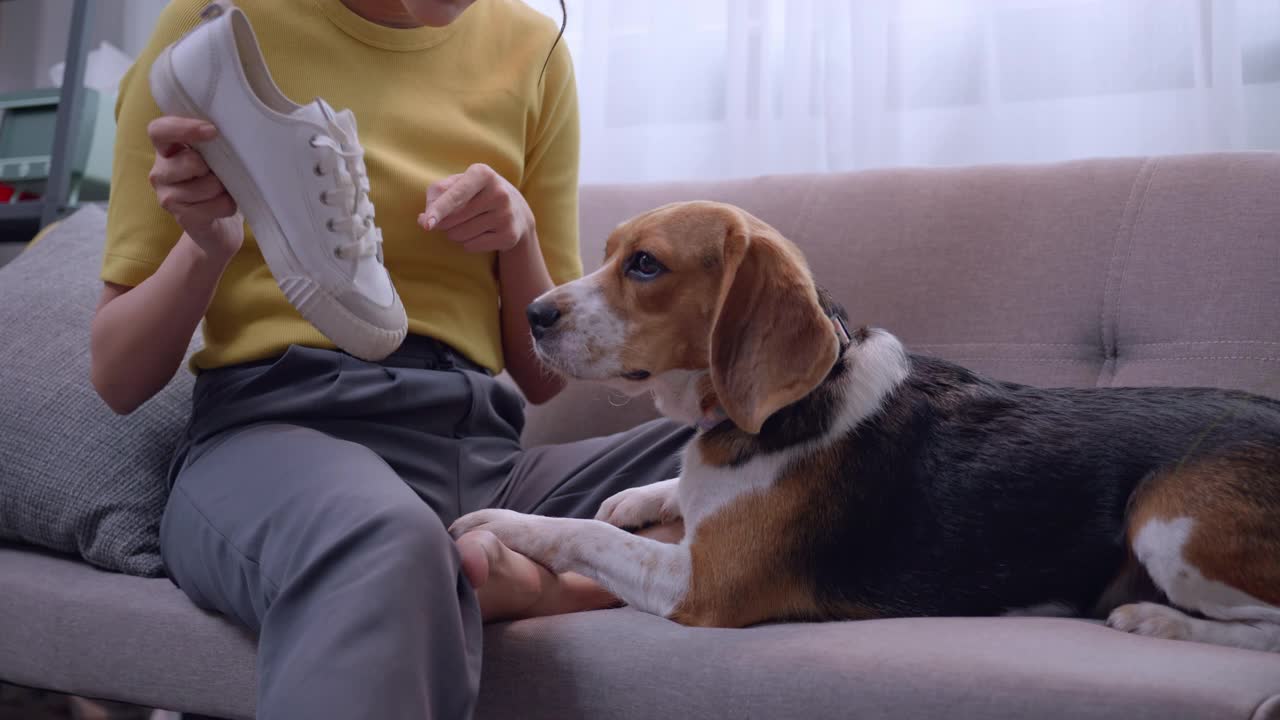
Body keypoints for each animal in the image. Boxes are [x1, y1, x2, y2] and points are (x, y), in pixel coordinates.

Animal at [453, 198, 1280, 648]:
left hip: (1166, 522)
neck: (790, 405)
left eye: (646, 266)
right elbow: (649, 501)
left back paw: (1157, 622)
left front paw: (498, 521)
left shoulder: (699, 585)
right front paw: (638, 496)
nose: (532, 314)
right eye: (608, 253)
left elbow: (581, 534)